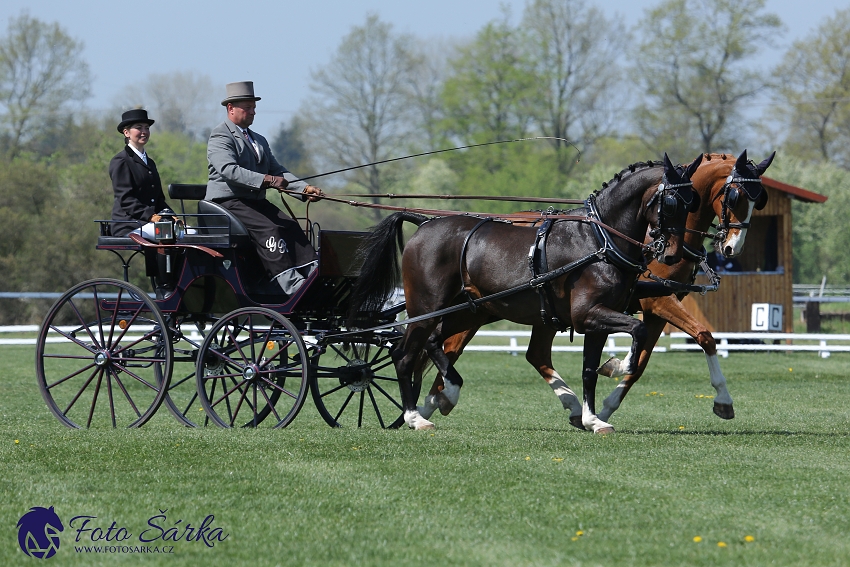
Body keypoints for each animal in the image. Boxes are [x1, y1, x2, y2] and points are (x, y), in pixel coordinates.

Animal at [348, 154, 700, 430]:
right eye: (671, 203)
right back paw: (415, 417)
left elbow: (589, 369)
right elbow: (638, 329)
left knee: (432, 342)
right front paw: (620, 366)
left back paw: (449, 392)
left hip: (465, 309)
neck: (598, 240)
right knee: (403, 355)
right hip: (426, 308)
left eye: (692, 202)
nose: (672, 255)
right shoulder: (588, 315)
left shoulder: (597, 321)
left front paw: (593, 418)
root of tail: (423, 223)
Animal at [420, 149, 776, 428]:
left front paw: (605, 404)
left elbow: (643, 361)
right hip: (481, 311)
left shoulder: (654, 307)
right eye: (735, 195)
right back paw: (433, 402)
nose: (731, 247)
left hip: (525, 312)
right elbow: (702, 336)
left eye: (759, 200)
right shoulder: (657, 302)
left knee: (533, 354)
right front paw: (722, 399)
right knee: (449, 346)